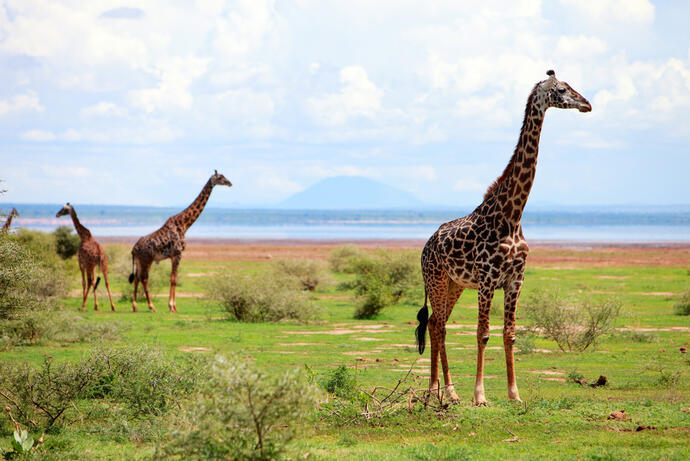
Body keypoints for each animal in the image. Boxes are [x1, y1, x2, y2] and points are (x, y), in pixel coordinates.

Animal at [130, 170, 232, 312]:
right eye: (220, 177)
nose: (230, 183)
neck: (185, 225)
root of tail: (133, 249)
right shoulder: (177, 254)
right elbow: (173, 279)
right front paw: (172, 307)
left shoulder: (175, 255)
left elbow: (174, 278)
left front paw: (174, 306)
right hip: (147, 260)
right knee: (144, 279)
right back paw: (152, 307)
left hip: (140, 261)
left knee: (136, 279)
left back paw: (135, 307)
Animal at [414, 70, 592, 404]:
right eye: (562, 89)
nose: (587, 103)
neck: (512, 215)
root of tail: (426, 245)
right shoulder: (487, 278)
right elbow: (483, 333)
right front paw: (480, 396)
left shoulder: (515, 279)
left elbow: (509, 334)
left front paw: (514, 394)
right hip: (436, 280)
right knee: (438, 326)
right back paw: (434, 391)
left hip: (456, 284)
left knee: (436, 323)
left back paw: (450, 392)